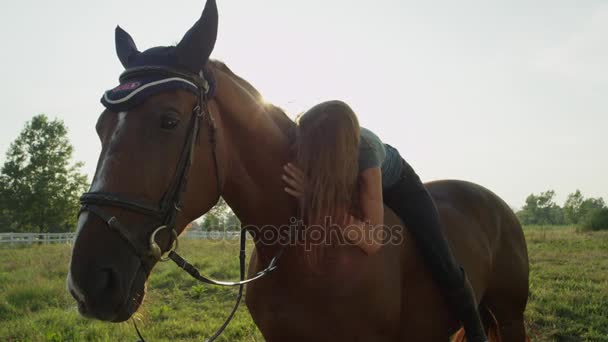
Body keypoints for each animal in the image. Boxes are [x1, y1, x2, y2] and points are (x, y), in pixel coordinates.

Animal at [67, 1, 528, 340]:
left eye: (168, 120)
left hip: (509, 317)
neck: (308, 248)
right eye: (100, 127)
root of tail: (493, 201)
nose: (88, 282)